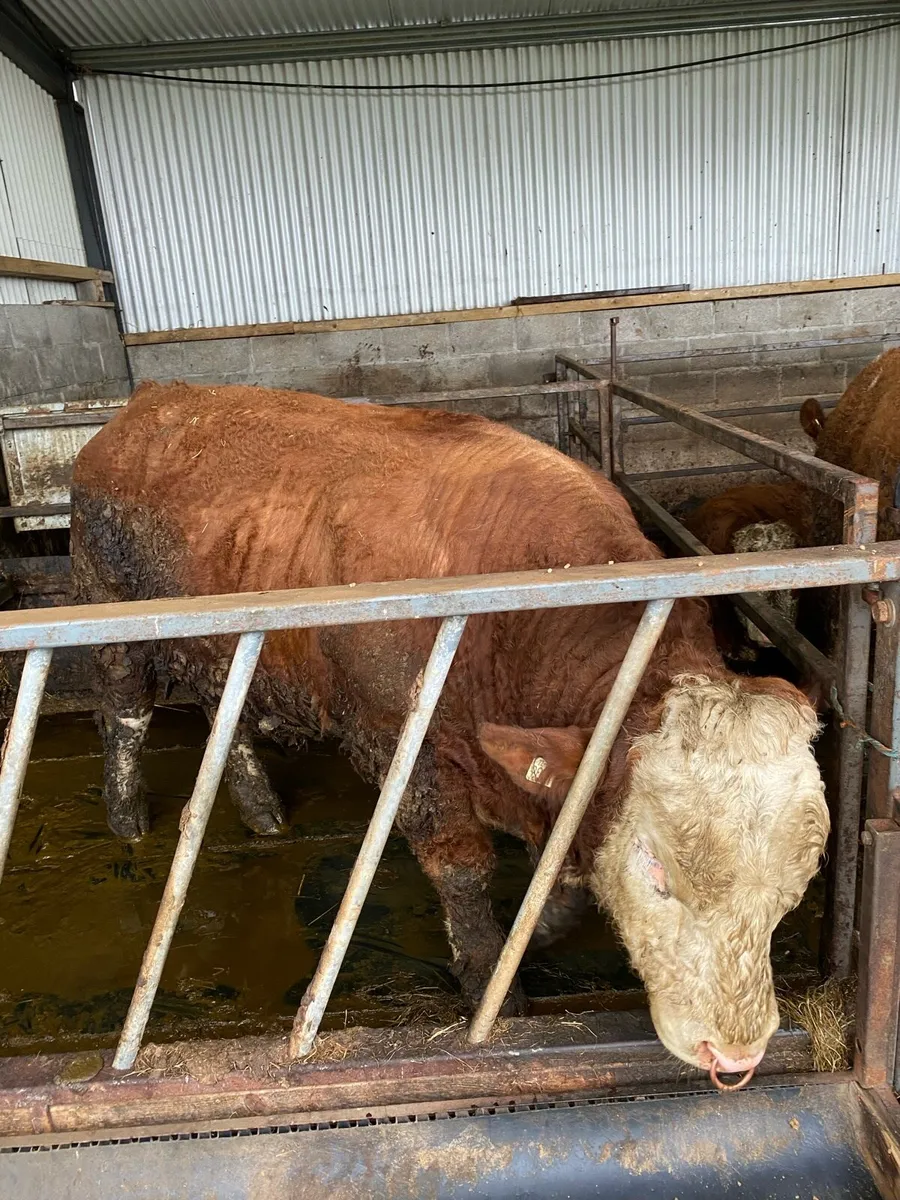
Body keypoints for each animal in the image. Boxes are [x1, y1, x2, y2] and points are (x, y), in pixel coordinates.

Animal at [70, 381, 829, 1082]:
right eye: (656, 870)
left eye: (796, 887)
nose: (736, 1052)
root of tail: (153, 399)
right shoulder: (402, 743)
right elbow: (463, 868)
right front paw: (493, 981)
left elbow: (562, 860)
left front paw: (537, 927)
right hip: (110, 608)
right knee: (126, 707)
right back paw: (127, 815)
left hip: (224, 645)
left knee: (217, 713)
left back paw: (260, 810)